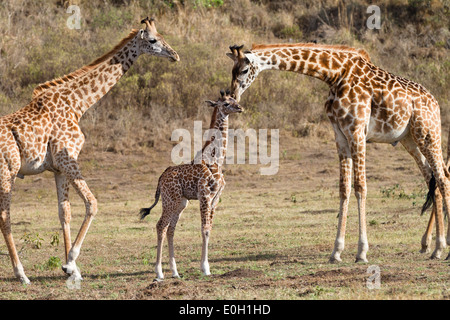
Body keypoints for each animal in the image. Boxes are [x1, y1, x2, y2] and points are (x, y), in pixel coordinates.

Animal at [0, 17, 179, 284]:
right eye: (153, 40)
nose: (175, 55)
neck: (77, 104)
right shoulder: (68, 159)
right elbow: (92, 203)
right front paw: (71, 260)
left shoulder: (59, 168)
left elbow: (64, 213)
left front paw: (71, 269)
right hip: (7, 172)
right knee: (5, 216)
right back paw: (21, 274)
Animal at [140, 90, 243, 280]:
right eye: (226, 103)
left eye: (234, 99)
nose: (240, 108)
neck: (216, 160)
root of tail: (160, 178)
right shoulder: (205, 195)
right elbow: (205, 229)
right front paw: (205, 268)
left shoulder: (215, 198)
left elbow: (210, 228)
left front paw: (206, 267)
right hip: (170, 200)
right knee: (161, 226)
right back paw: (159, 272)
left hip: (181, 203)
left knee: (171, 229)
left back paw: (175, 272)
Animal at [227, 42, 448, 262]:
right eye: (232, 70)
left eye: (244, 70)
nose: (233, 97)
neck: (334, 74)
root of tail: (435, 103)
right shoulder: (340, 136)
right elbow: (344, 189)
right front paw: (336, 251)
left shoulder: (357, 132)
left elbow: (360, 187)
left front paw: (362, 252)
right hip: (410, 140)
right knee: (433, 179)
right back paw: (434, 247)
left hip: (428, 135)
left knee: (443, 178)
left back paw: (441, 248)